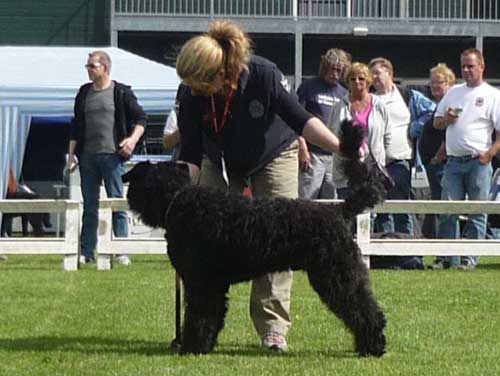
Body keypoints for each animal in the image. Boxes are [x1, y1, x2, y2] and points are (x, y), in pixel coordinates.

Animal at [122, 120, 390, 356]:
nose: (129, 196)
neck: (177, 198)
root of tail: (338, 209)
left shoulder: (200, 280)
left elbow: (199, 314)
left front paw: (190, 346)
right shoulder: (214, 283)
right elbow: (212, 315)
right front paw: (204, 345)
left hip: (336, 274)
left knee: (363, 309)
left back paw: (373, 346)